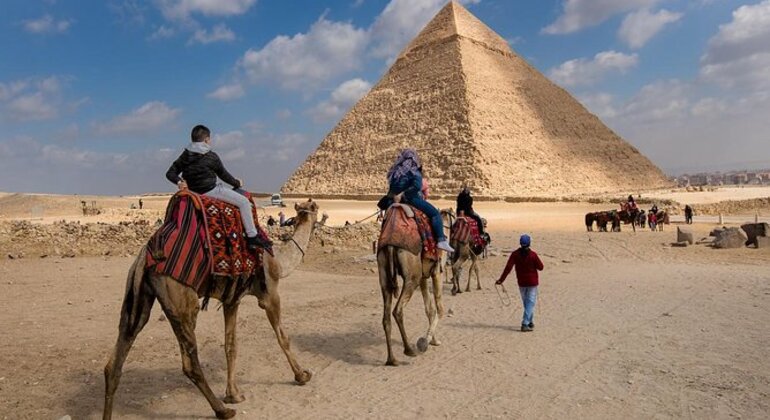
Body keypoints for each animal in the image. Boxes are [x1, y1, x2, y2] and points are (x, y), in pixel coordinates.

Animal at [103, 194, 318, 420]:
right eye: (315, 208)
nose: (322, 218)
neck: (279, 260)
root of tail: (145, 257)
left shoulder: (232, 300)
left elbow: (231, 346)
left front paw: (233, 394)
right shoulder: (270, 293)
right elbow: (282, 338)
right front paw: (302, 375)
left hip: (137, 295)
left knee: (117, 357)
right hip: (182, 300)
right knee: (189, 363)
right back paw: (222, 410)